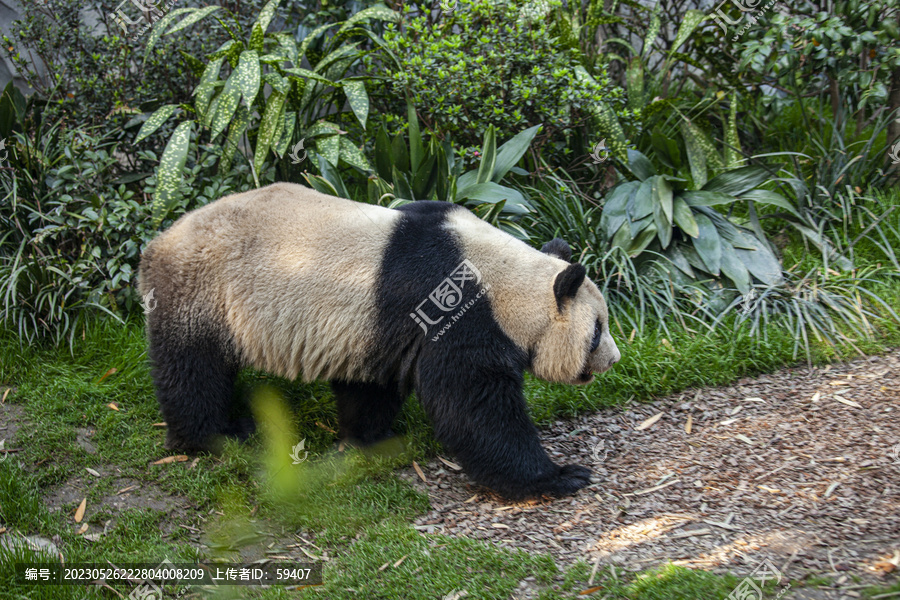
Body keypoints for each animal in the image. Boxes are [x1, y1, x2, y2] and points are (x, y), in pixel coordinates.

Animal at [139, 183, 620, 502]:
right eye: (597, 330)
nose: (614, 360)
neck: (503, 278)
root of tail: (157, 244)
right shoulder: (453, 313)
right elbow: (475, 409)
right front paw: (558, 477)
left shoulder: (382, 327)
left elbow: (373, 384)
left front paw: (371, 437)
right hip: (202, 290)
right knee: (193, 369)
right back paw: (215, 434)